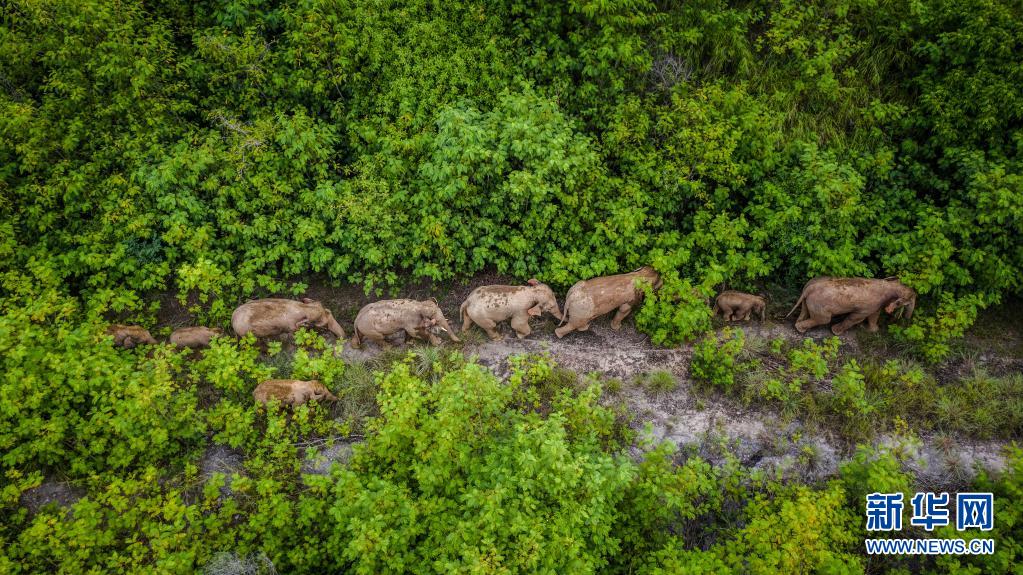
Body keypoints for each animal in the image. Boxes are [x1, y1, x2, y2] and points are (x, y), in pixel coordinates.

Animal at [785, 276, 916, 333]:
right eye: (908, 301)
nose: (906, 321)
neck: (889, 285)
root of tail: (808, 289)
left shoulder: (876, 305)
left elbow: (874, 315)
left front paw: (873, 330)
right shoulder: (869, 305)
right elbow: (857, 318)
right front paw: (835, 332)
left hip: (808, 301)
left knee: (805, 311)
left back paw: (798, 326)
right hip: (819, 305)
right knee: (824, 319)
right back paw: (800, 330)